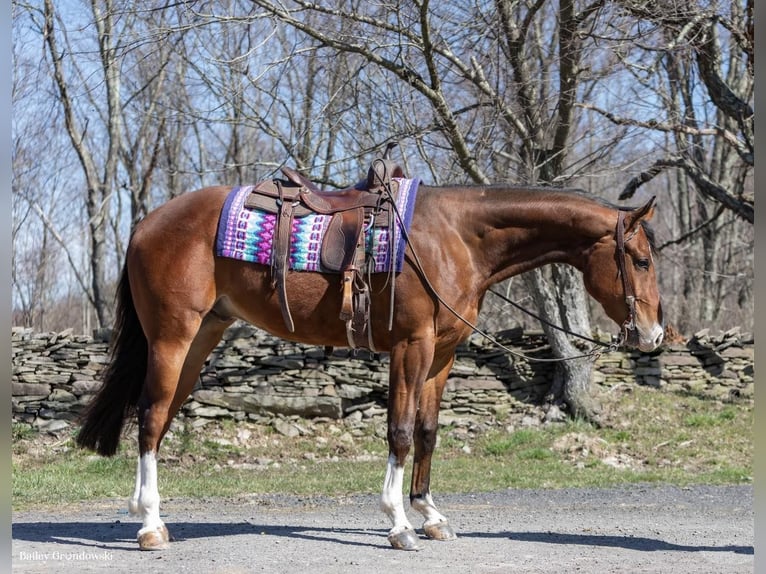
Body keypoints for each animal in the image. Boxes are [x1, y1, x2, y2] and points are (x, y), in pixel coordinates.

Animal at [76, 179, 664, 552]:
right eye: (640, 260)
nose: (654, 335)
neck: (455, 238)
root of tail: (145, 225)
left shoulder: (441, 355)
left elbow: (427, 432)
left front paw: (430, 516)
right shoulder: (411, 347)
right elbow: (399, 433)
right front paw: (398, 524)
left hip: (201, 337)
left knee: (160, 420)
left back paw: (149, 516)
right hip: (173, 338)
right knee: (151, 418)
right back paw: (150, 528)